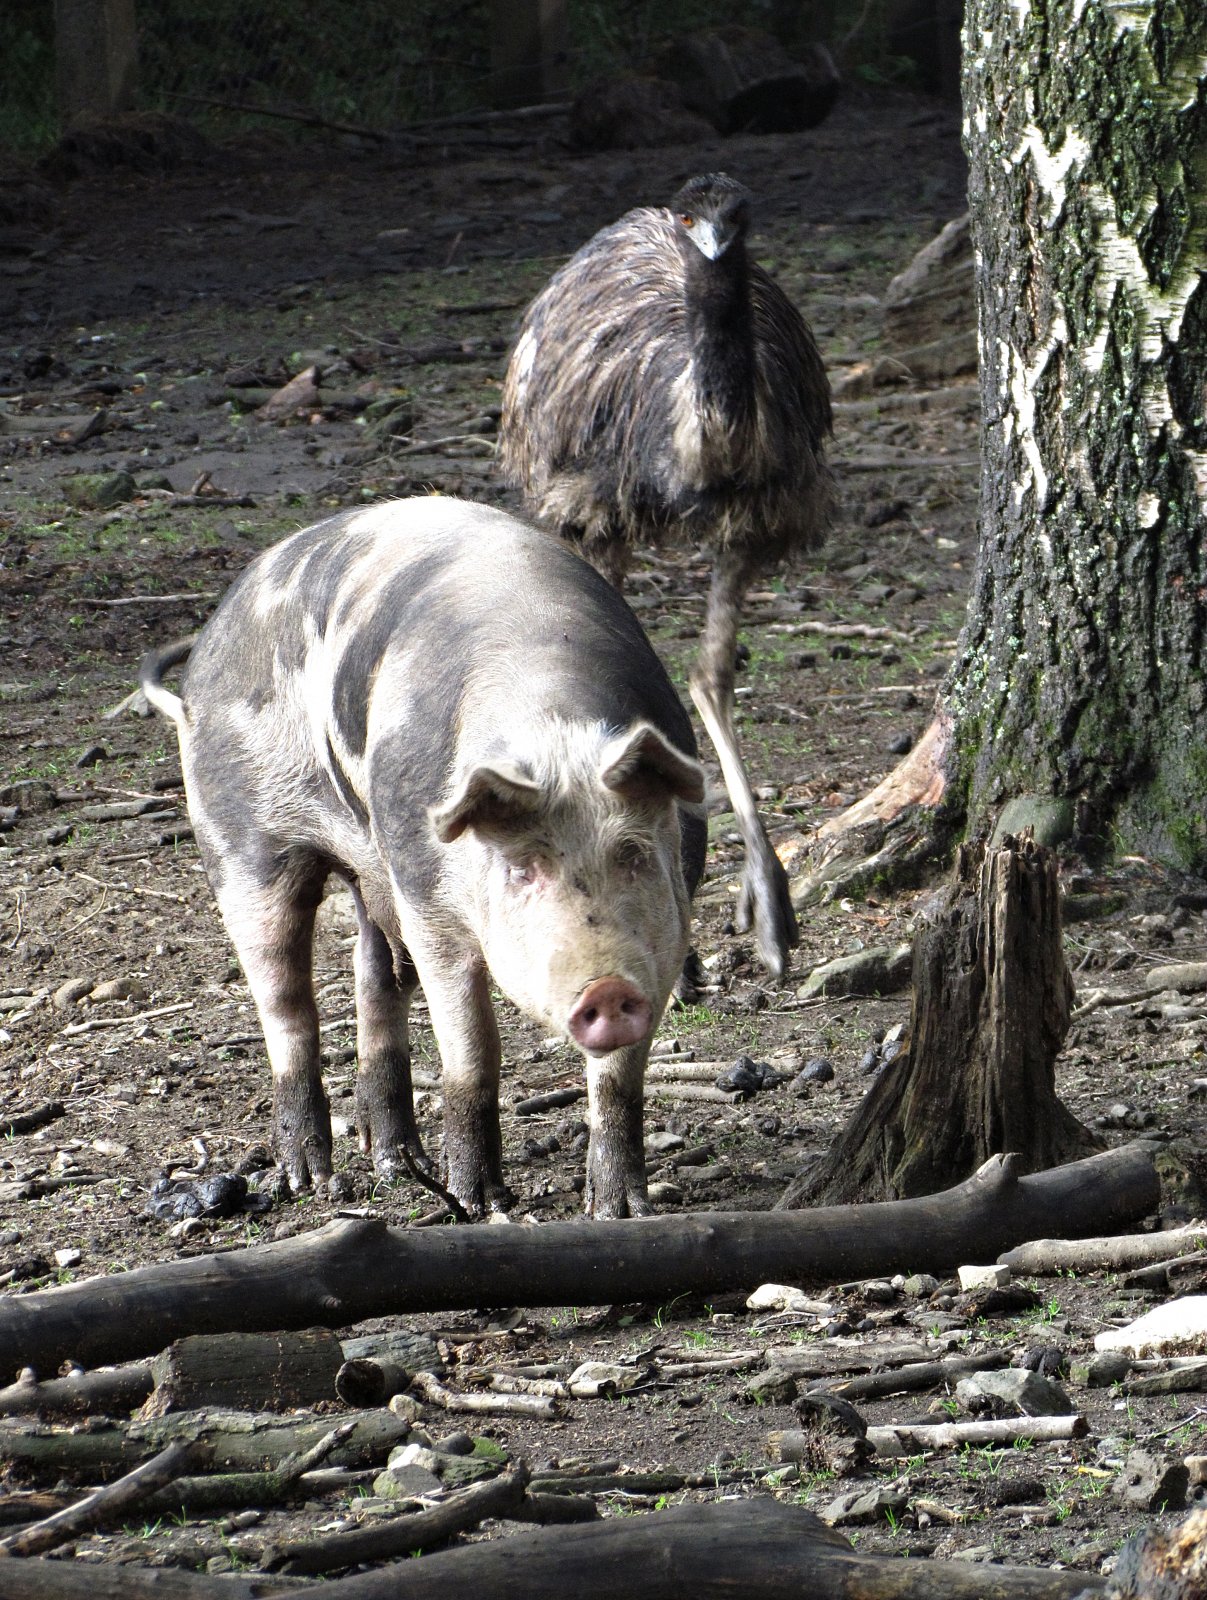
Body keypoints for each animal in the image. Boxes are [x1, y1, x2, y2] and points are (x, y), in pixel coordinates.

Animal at [140, 497, 706, 1218]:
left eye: (632, 855)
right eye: (522, 869)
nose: (606, 989)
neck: (553, 733)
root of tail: (211, 639)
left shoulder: (669, 926)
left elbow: (619, 1077)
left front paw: (620, 1211)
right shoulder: (427, 898)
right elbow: (473, 1050)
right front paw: (480, 1203)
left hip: (373, 876)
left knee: (375, 980)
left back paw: (399, 1167)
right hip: (242, 846)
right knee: (286, 1003)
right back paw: (310, 1181)